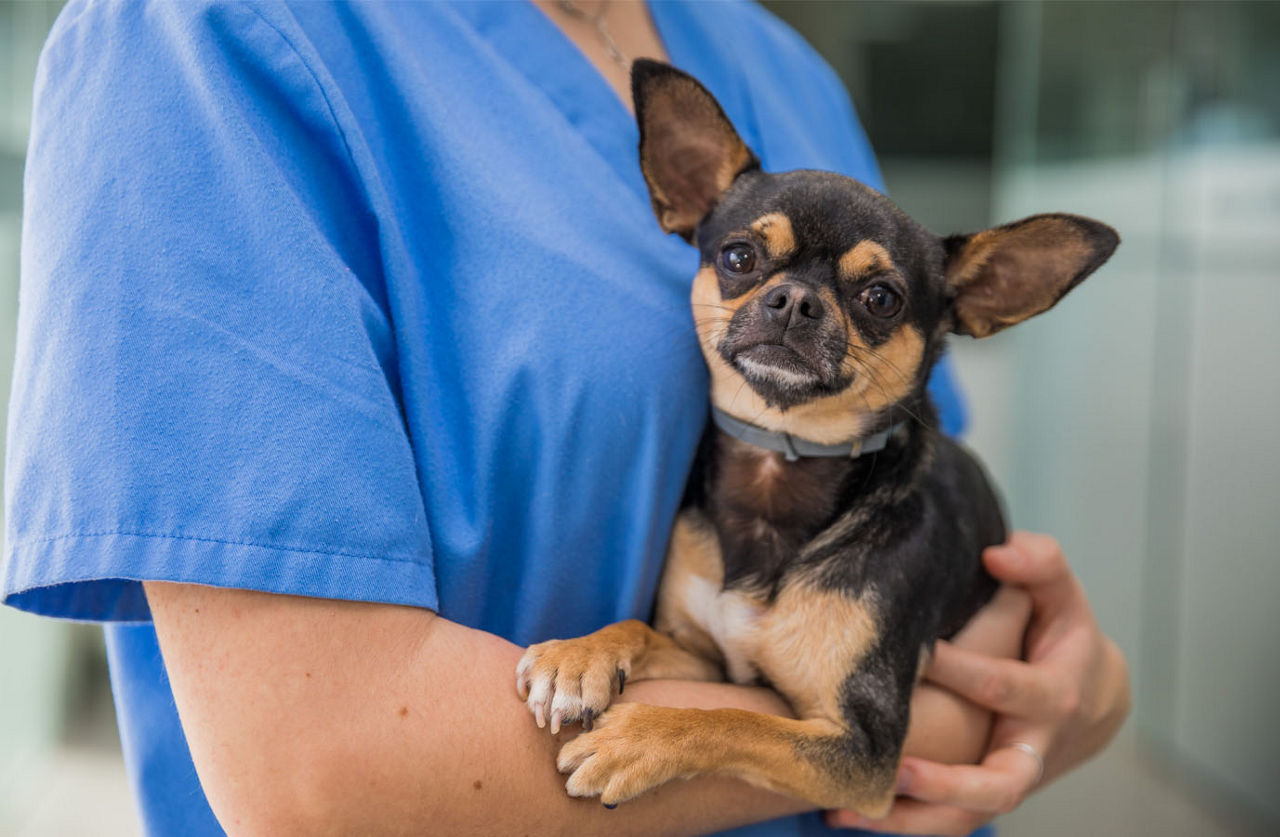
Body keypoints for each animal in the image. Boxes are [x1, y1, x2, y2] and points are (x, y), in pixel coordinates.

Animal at [514, 60, 1116, 819]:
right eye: (738, 256)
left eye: (882, 298)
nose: (796, 299)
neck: (782, 458)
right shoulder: (710, 657)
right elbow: (642, 631)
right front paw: (580, 655)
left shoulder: (861, 751)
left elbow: (734, 723)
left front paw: (641, 736)